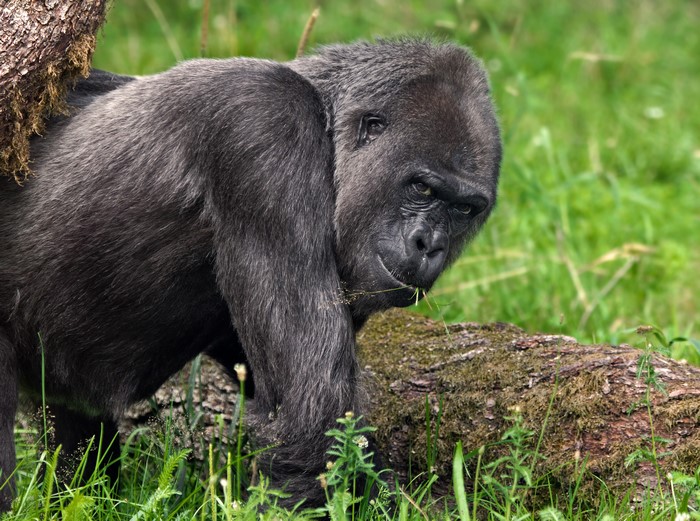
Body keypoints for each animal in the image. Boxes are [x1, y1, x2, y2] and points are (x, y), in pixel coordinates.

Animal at [0, 38, 501, 510]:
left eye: (464, 209)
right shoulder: (266, 129)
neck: (322, 113)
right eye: (422, 188)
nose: (429, 245)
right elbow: (310, 414)